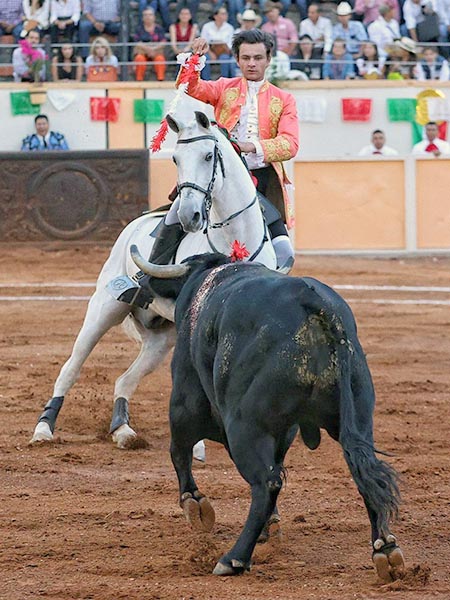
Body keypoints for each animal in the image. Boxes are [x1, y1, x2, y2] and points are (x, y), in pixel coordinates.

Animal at [29, 111, 278, 450]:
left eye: (208, 155)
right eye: (175, 159)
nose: (189, 215)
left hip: (160, 339)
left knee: (125, 379)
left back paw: (122, 429)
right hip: (104, 308)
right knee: (71, 366)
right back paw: (43, 428)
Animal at [141, 252, 404, 580]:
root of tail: (314, 305)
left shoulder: (186, 399)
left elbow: (179, 450)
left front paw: (195, 504)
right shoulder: (284, 432)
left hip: (245, 427)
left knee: (266, 483)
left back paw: (233, 558)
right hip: (357, 418)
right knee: (363, 472)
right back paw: (385, 549)